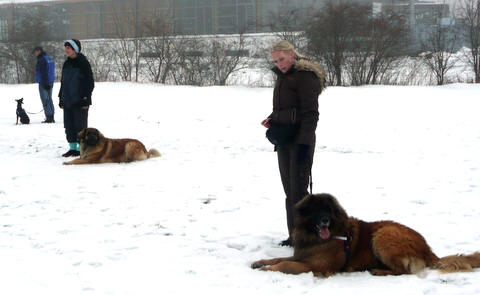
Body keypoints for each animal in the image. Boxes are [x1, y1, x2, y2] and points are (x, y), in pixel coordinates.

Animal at [251, 194, 480, 278]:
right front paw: (260, 262)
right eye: (317, 210)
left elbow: (285, 264)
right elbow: (279, 258)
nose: (325, 220)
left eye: (329, 210)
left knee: (403, 271)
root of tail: (426, 247)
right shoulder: (302, 255)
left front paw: (268, 269)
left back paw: (378, 270)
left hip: (383, 235)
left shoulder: (317, 266)